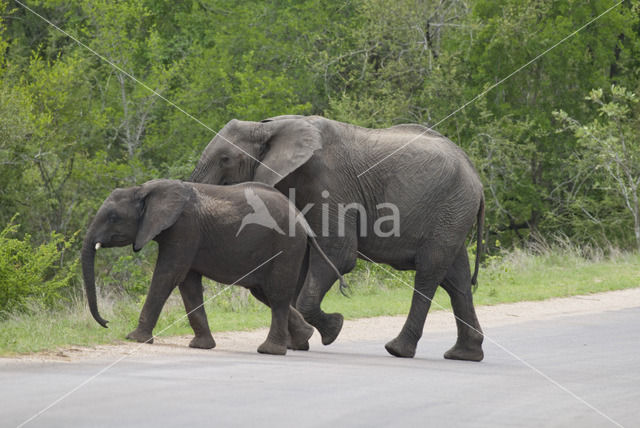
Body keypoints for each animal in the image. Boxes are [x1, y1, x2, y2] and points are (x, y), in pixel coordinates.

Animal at [82, 178, 348, 354]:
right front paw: (201, 347)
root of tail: (303, 221)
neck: (144, 189)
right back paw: (314, 337)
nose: (106, 322)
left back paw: (270, 350)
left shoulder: (184, 227)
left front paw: (134, 339)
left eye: (113, 217)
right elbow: (188, 284)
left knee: (277, 294)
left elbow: (168, 275)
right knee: (265, 293)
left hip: (286, 246)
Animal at [190, 114, 484, 362]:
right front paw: (298, 343)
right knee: (457, 280)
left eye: (225, 159)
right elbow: (301, 261)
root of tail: (477, 177)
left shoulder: (330, 184)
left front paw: (332, 329)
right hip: (454, 215)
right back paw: (464, 355)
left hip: (451, 209)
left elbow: (338, 255)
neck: (269, 127)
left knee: (429, 273)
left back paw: (398, 350)